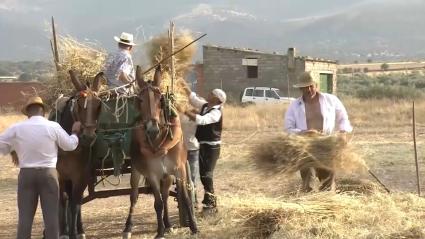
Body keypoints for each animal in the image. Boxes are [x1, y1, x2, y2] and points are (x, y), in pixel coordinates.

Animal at [56, 71, 103, 239]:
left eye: (99, 104)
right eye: (79, 104)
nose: (88, 137)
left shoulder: (81, 176)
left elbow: (75, 204)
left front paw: (74, 233)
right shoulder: (60, 176)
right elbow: (63, 200)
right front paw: (64, 232)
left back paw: (79, 229)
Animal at [121, 66, 197, 239]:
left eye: (160, 99)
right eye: (140, 100)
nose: (152, 128)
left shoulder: (179, 170)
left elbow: (185, 197)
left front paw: (194, 227)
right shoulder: (153, 174)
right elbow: (157, 203)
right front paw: (160, 232)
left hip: (167, 176)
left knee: (166, 194)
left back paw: (168, 224)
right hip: (136, 172)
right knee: (134, 196)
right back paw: (128, 227)